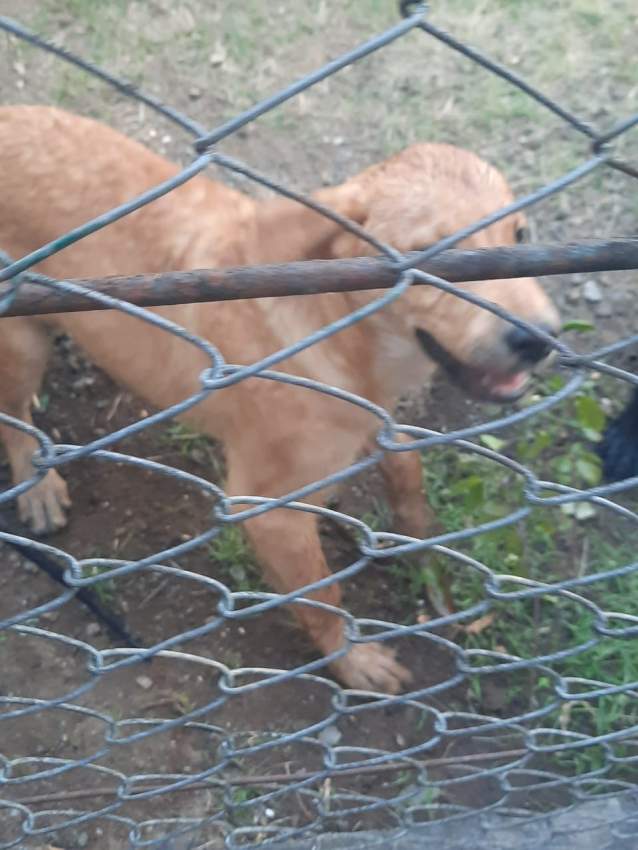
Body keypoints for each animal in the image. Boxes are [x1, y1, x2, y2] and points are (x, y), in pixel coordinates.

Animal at [0, 105, 559, 692]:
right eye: (429, 254)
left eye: (521, 233)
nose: (541, 338)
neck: (339, 326)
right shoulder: (266, 508)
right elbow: (322, 595)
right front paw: (353, 660)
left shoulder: (367, 422)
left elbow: (407, 469)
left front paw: (419, 541)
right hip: (20, 344)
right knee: (13, 415)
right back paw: (37, 483)